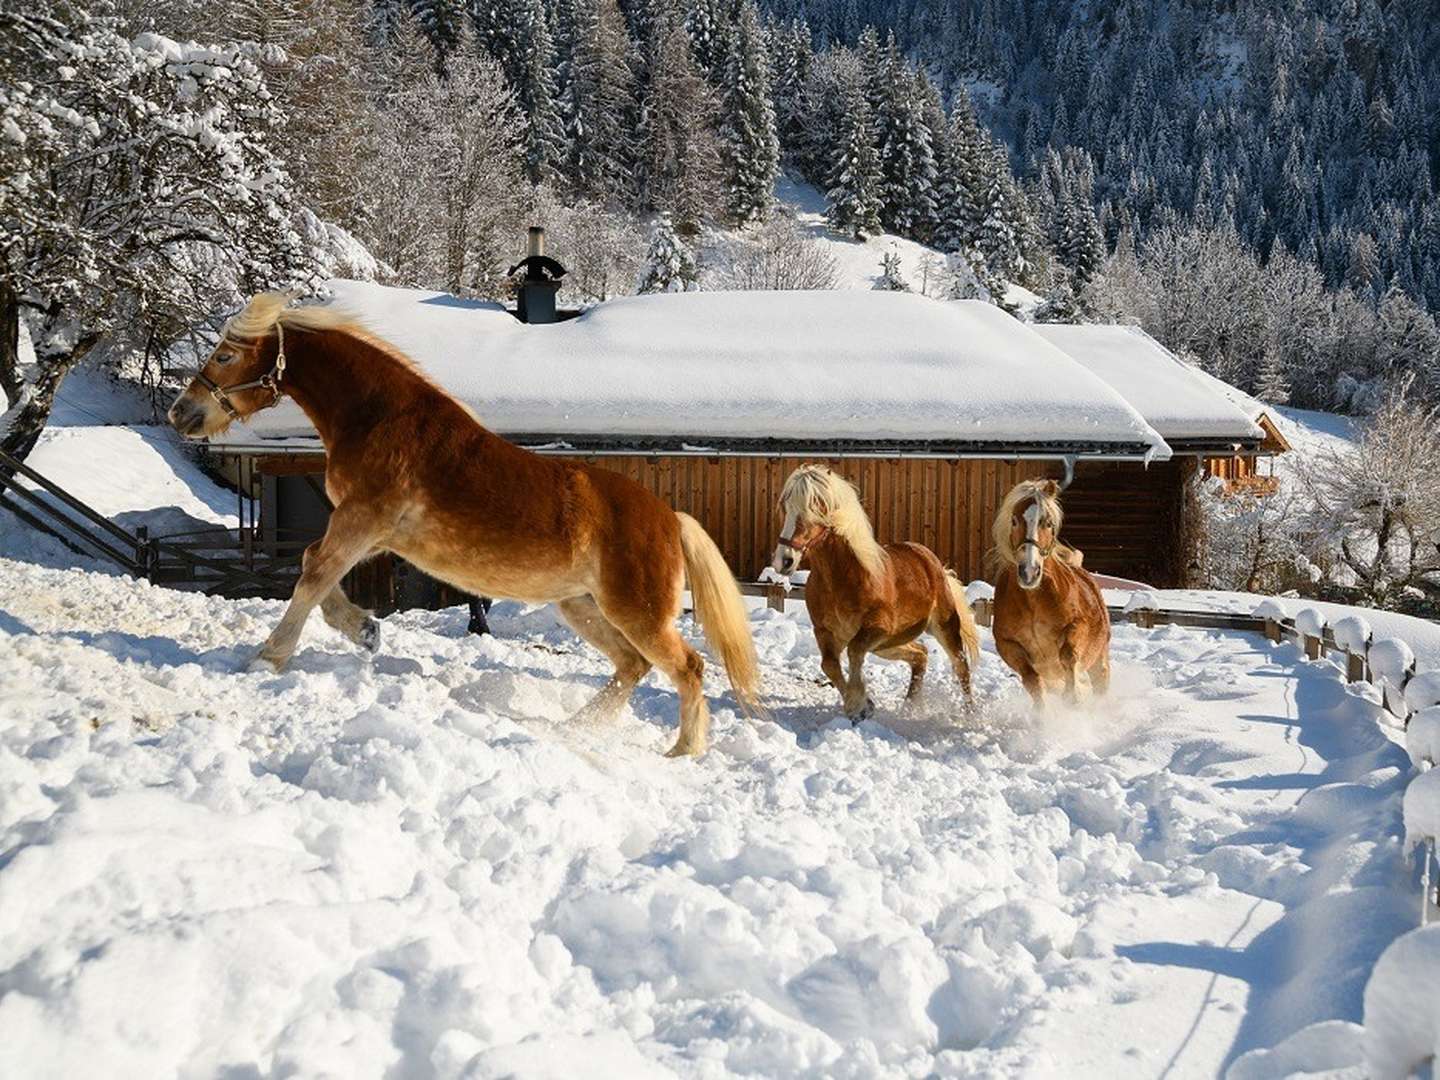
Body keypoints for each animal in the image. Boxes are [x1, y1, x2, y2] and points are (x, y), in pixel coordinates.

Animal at [165, 292, 766, 754]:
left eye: (225, 354)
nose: (180, 413)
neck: (381, 419)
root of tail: (669, 517)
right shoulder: (373, 531)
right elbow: (319, 569)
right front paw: (365, 629)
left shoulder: (364, 519)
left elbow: (312, 572)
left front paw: (267, 657)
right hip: (583, 607)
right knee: (632, 667)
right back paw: (574, 728)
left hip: (635, 612)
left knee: (688, 666)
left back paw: (682, 751)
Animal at [771, 466, 984, 728]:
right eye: (786, 507)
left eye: (817, 507)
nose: (784, 560)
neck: (841, 578)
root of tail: (933, 563)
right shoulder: (824, 632)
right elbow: (829, 665)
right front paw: (863, 706)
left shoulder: (876, 628)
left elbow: (853, 652)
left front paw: (858, 706)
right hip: (887, 645)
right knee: (920, 654)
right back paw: (908, 708)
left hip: (940, 629)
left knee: (961, 667)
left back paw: (970, 716)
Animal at [990, 480, 1111, 711]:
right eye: (1014, 520)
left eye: (1047, 523)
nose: (1029, 572)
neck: (1033, 601)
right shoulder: (1007, 644)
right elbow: (1032, 679)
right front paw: (1043, 715)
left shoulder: (1077, 625)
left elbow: (1068, 655)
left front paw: (1074, 697)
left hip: (1099, 657)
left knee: (1100, 680)